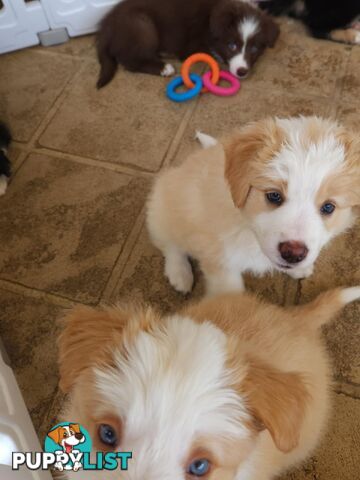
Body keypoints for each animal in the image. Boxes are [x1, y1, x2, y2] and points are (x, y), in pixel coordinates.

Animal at [95, 0, 278, 88]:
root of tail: (106, 26)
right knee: (130, 61)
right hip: (142, 25)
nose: (242, 72)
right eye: (232, 45)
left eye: (254, 48)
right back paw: (164, 68)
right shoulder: (191, 47)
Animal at [147, 117, 360, 296]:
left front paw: (299, 269)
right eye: (274, 196)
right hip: (163, 208)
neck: (248, 229)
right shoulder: (220, 259)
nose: (293, 254)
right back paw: (179, 275)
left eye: (328, 207)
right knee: (169, 244)